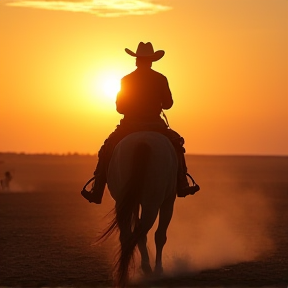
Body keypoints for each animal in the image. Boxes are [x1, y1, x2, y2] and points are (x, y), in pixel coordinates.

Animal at [101, 131, 178, 288]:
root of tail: (142, 141)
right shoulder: (168, 201)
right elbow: (160, 236)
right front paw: (159, 269)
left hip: (122, 201)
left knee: (127, 235)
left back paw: (125, 274)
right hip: (152, 203)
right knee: (141, 232)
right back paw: (148, 269)